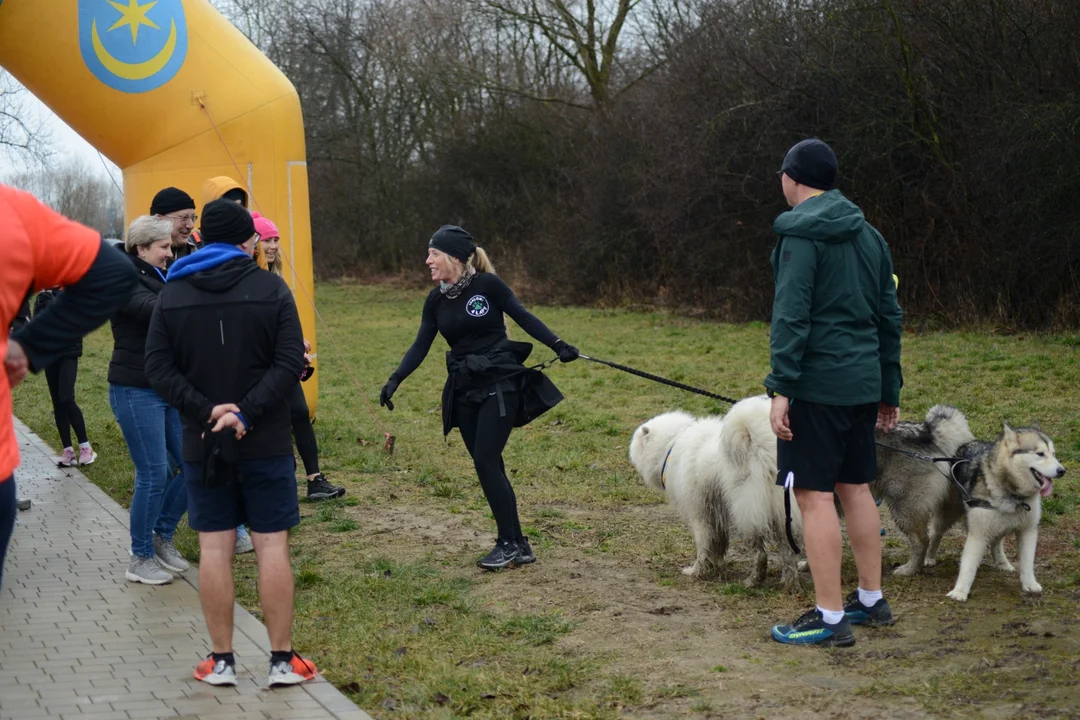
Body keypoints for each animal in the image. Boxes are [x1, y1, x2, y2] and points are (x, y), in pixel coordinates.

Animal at [626, 397, 803, 587]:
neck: (673, 442)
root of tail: (764, 451)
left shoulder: (700, 515)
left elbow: (704, 546)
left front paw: (697, 571)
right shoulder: (716, 514)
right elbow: (718, 544)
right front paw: (716, 565)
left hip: (747, 514)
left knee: (760, 553)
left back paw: (753, 581)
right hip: (783, 515)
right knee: (788, 552)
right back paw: (789, 583)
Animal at [868, 405, 1062, 604]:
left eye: (1054, 454)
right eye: (1040, 454)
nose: (1061, 470)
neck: (1013, 493)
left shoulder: (1027, 531)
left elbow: (1026, 564)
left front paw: (1030, 585)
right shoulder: (979, 532)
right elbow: (969, 566)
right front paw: (960, 591)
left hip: (906, 508)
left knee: (929, 540)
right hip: (940, 514)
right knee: (935, 536)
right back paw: (930, 559)